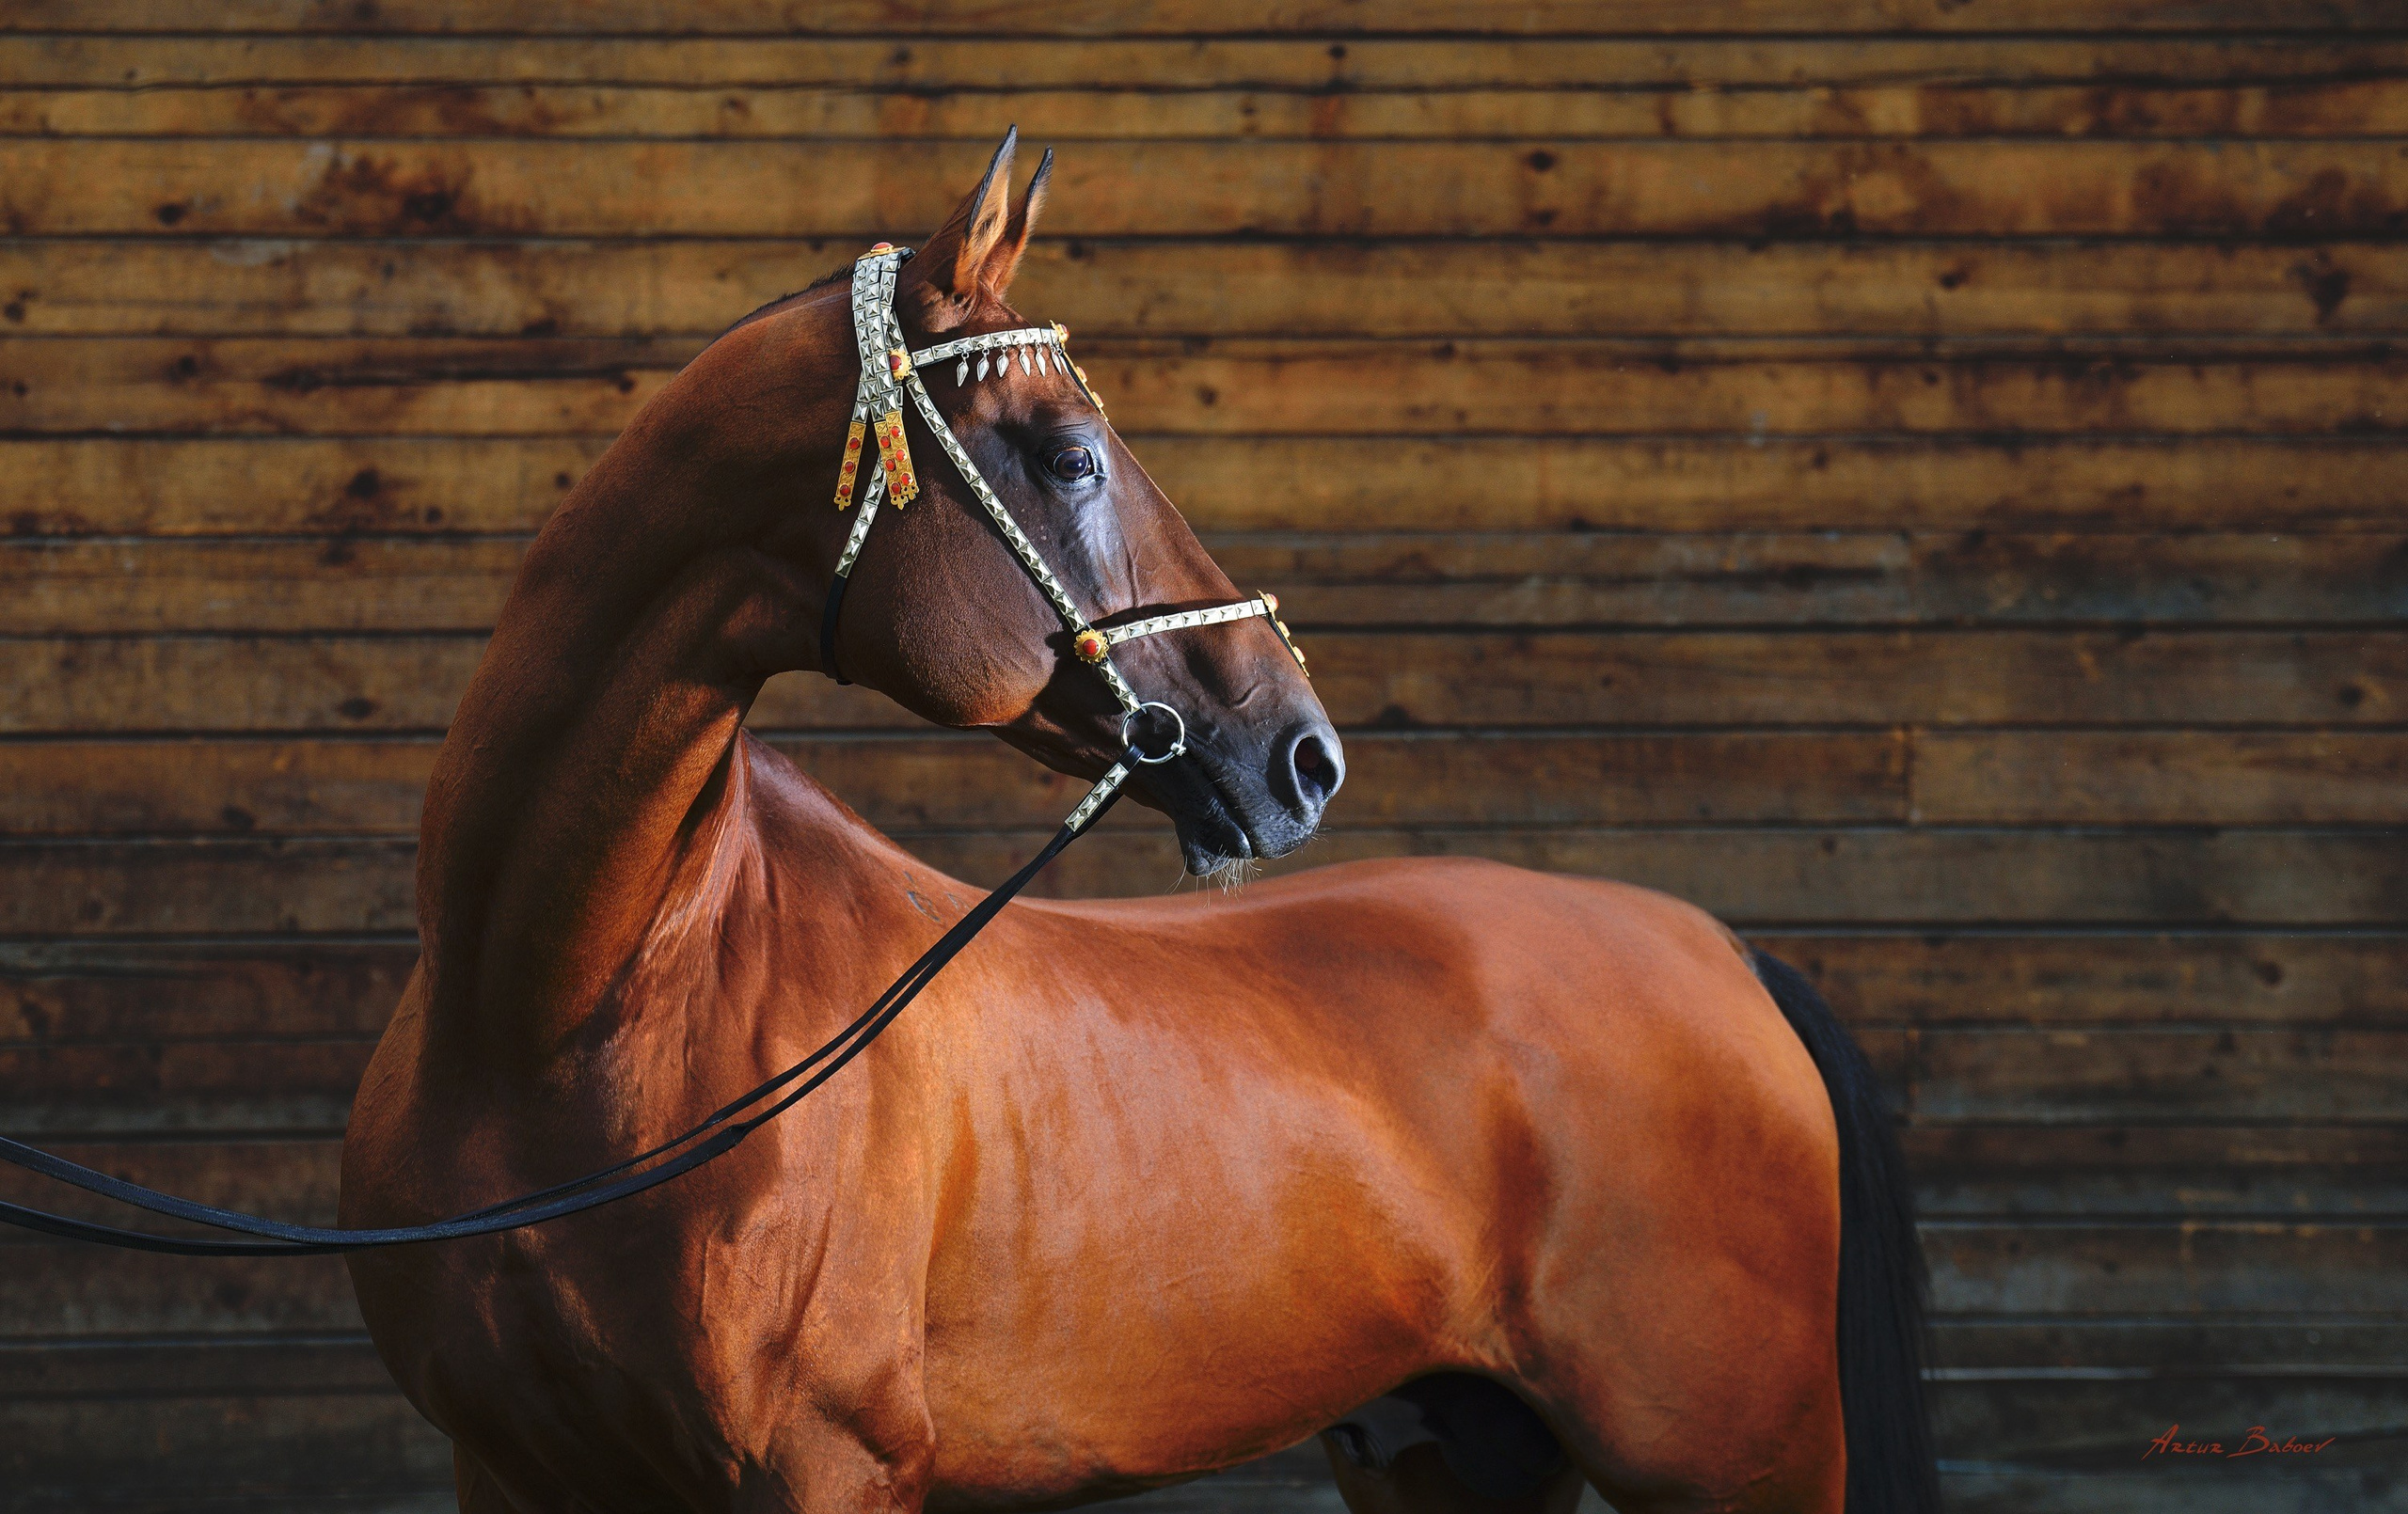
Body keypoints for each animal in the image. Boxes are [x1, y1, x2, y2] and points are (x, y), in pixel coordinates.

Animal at [339, 131, 1938, 1514]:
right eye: (1069, 455)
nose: (1306, 753)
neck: (568, 1016)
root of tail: (1722, 953)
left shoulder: (828, 1469)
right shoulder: (514, 1469)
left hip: (1737, 1466)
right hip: (1452, 1453)